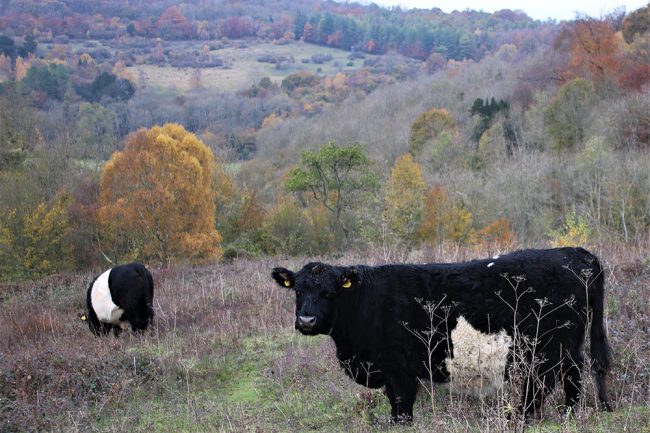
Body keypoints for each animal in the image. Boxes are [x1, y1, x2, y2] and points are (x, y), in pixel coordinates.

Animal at [272, 247, 613, 423]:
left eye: (329, 292)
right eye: (298, 291)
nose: (306, 319)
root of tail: (575, 253)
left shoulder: (399, 370)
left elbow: (401, 406)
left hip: (549, 344)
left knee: (548, 379)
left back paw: (524, 416)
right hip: (562, 344)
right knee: (571, 373)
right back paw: (565, 414)